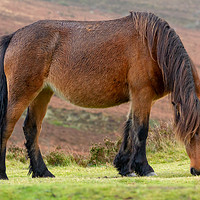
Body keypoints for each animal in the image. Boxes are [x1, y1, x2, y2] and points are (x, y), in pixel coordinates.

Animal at [0, 11, 200, 179]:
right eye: (195, 133)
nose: (196, 171)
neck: (153, 47)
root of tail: (14, 36)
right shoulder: (142, 94)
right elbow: (141, 130)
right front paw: (144, 168)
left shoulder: (137, 98)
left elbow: (129, 129)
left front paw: (124, 168)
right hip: (22, 93)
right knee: (7, 127)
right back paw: (4, 174)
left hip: (42, 93)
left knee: (32, 129)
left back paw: (43, 172)